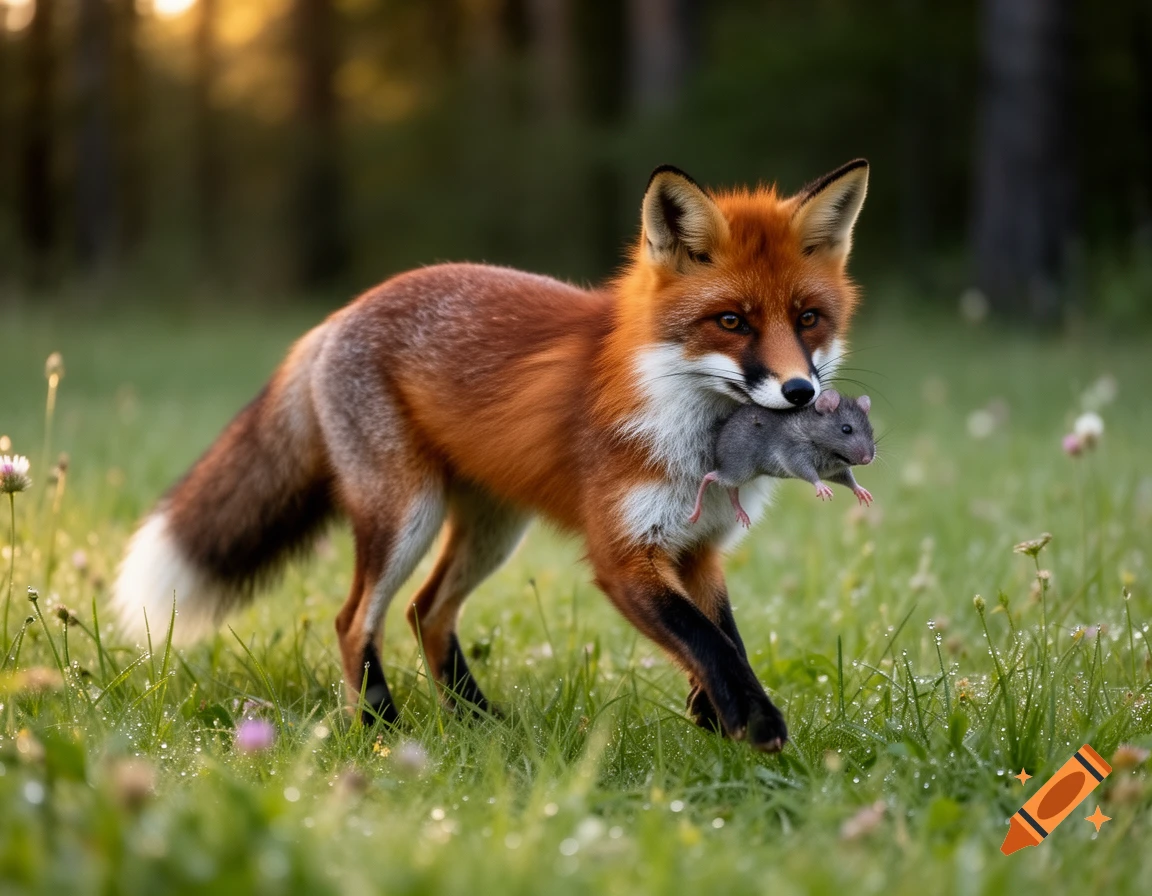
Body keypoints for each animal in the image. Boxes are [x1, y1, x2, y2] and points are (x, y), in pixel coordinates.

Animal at [112, 160, 869, 752]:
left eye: (808, 319)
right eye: (732, 321)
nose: (800, 391)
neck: (693, 436)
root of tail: (339, 315)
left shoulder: (699, 547)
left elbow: (724, 639)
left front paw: (713, 718)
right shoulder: (622, 553)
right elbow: (704, 639)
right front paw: (754, 722)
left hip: (494, 530)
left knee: (426, 611)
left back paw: (477, 722)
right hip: (406, 516)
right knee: (356, 619)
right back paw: (381, 729)